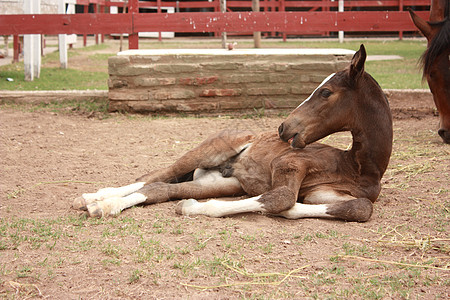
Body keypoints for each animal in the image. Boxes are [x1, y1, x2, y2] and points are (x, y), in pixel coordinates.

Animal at [74, 45, 394, 223]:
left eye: (326, 92)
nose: (284, 127)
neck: (355, 167)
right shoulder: (289, 163)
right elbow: (280, 198)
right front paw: (192, 210)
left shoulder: (322, 194)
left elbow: (361, 208)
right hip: (208, 151)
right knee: (154, 176)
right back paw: (95, 198)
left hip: (220, 183)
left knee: (160, 188)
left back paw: (100, 204)